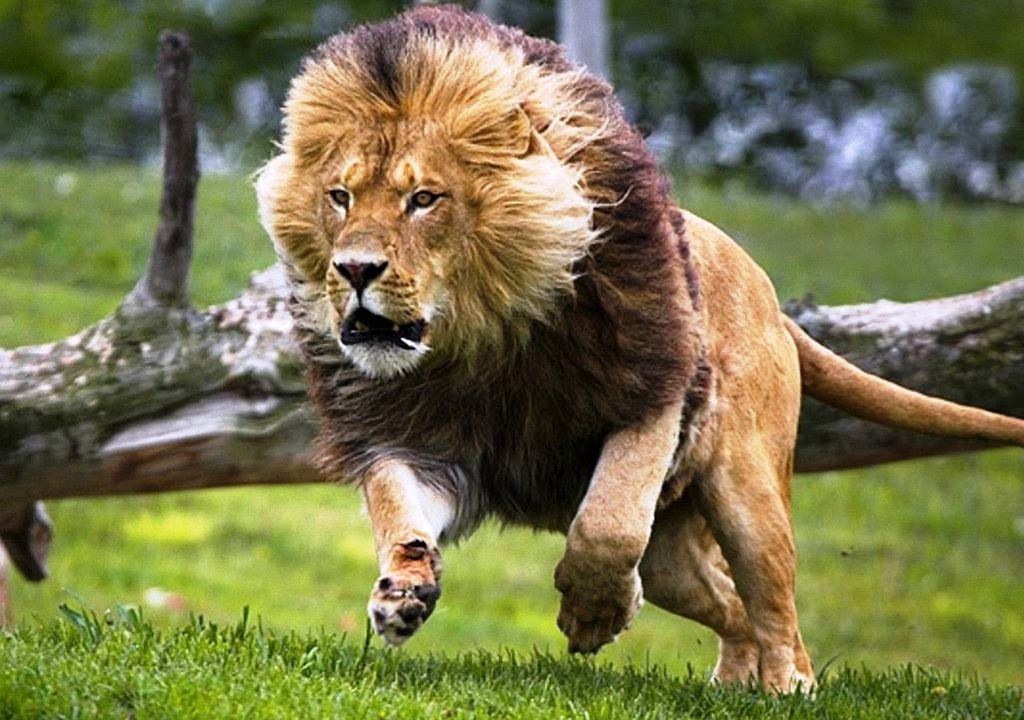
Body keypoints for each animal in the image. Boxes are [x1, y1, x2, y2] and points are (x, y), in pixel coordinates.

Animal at [256, 6, 1024, 693]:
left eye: (424, 199)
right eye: (340, 196)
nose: (354, 270)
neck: (481, 342)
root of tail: (770, 295)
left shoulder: (653, 393)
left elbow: (609, 523)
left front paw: (597, 614)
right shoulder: (416, 439)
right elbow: (397, 511)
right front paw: (402, 593)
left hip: (749, 493)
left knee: (774, 603)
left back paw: (787, 687)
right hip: (676, 555)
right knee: (727, 601)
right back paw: (732, 681)